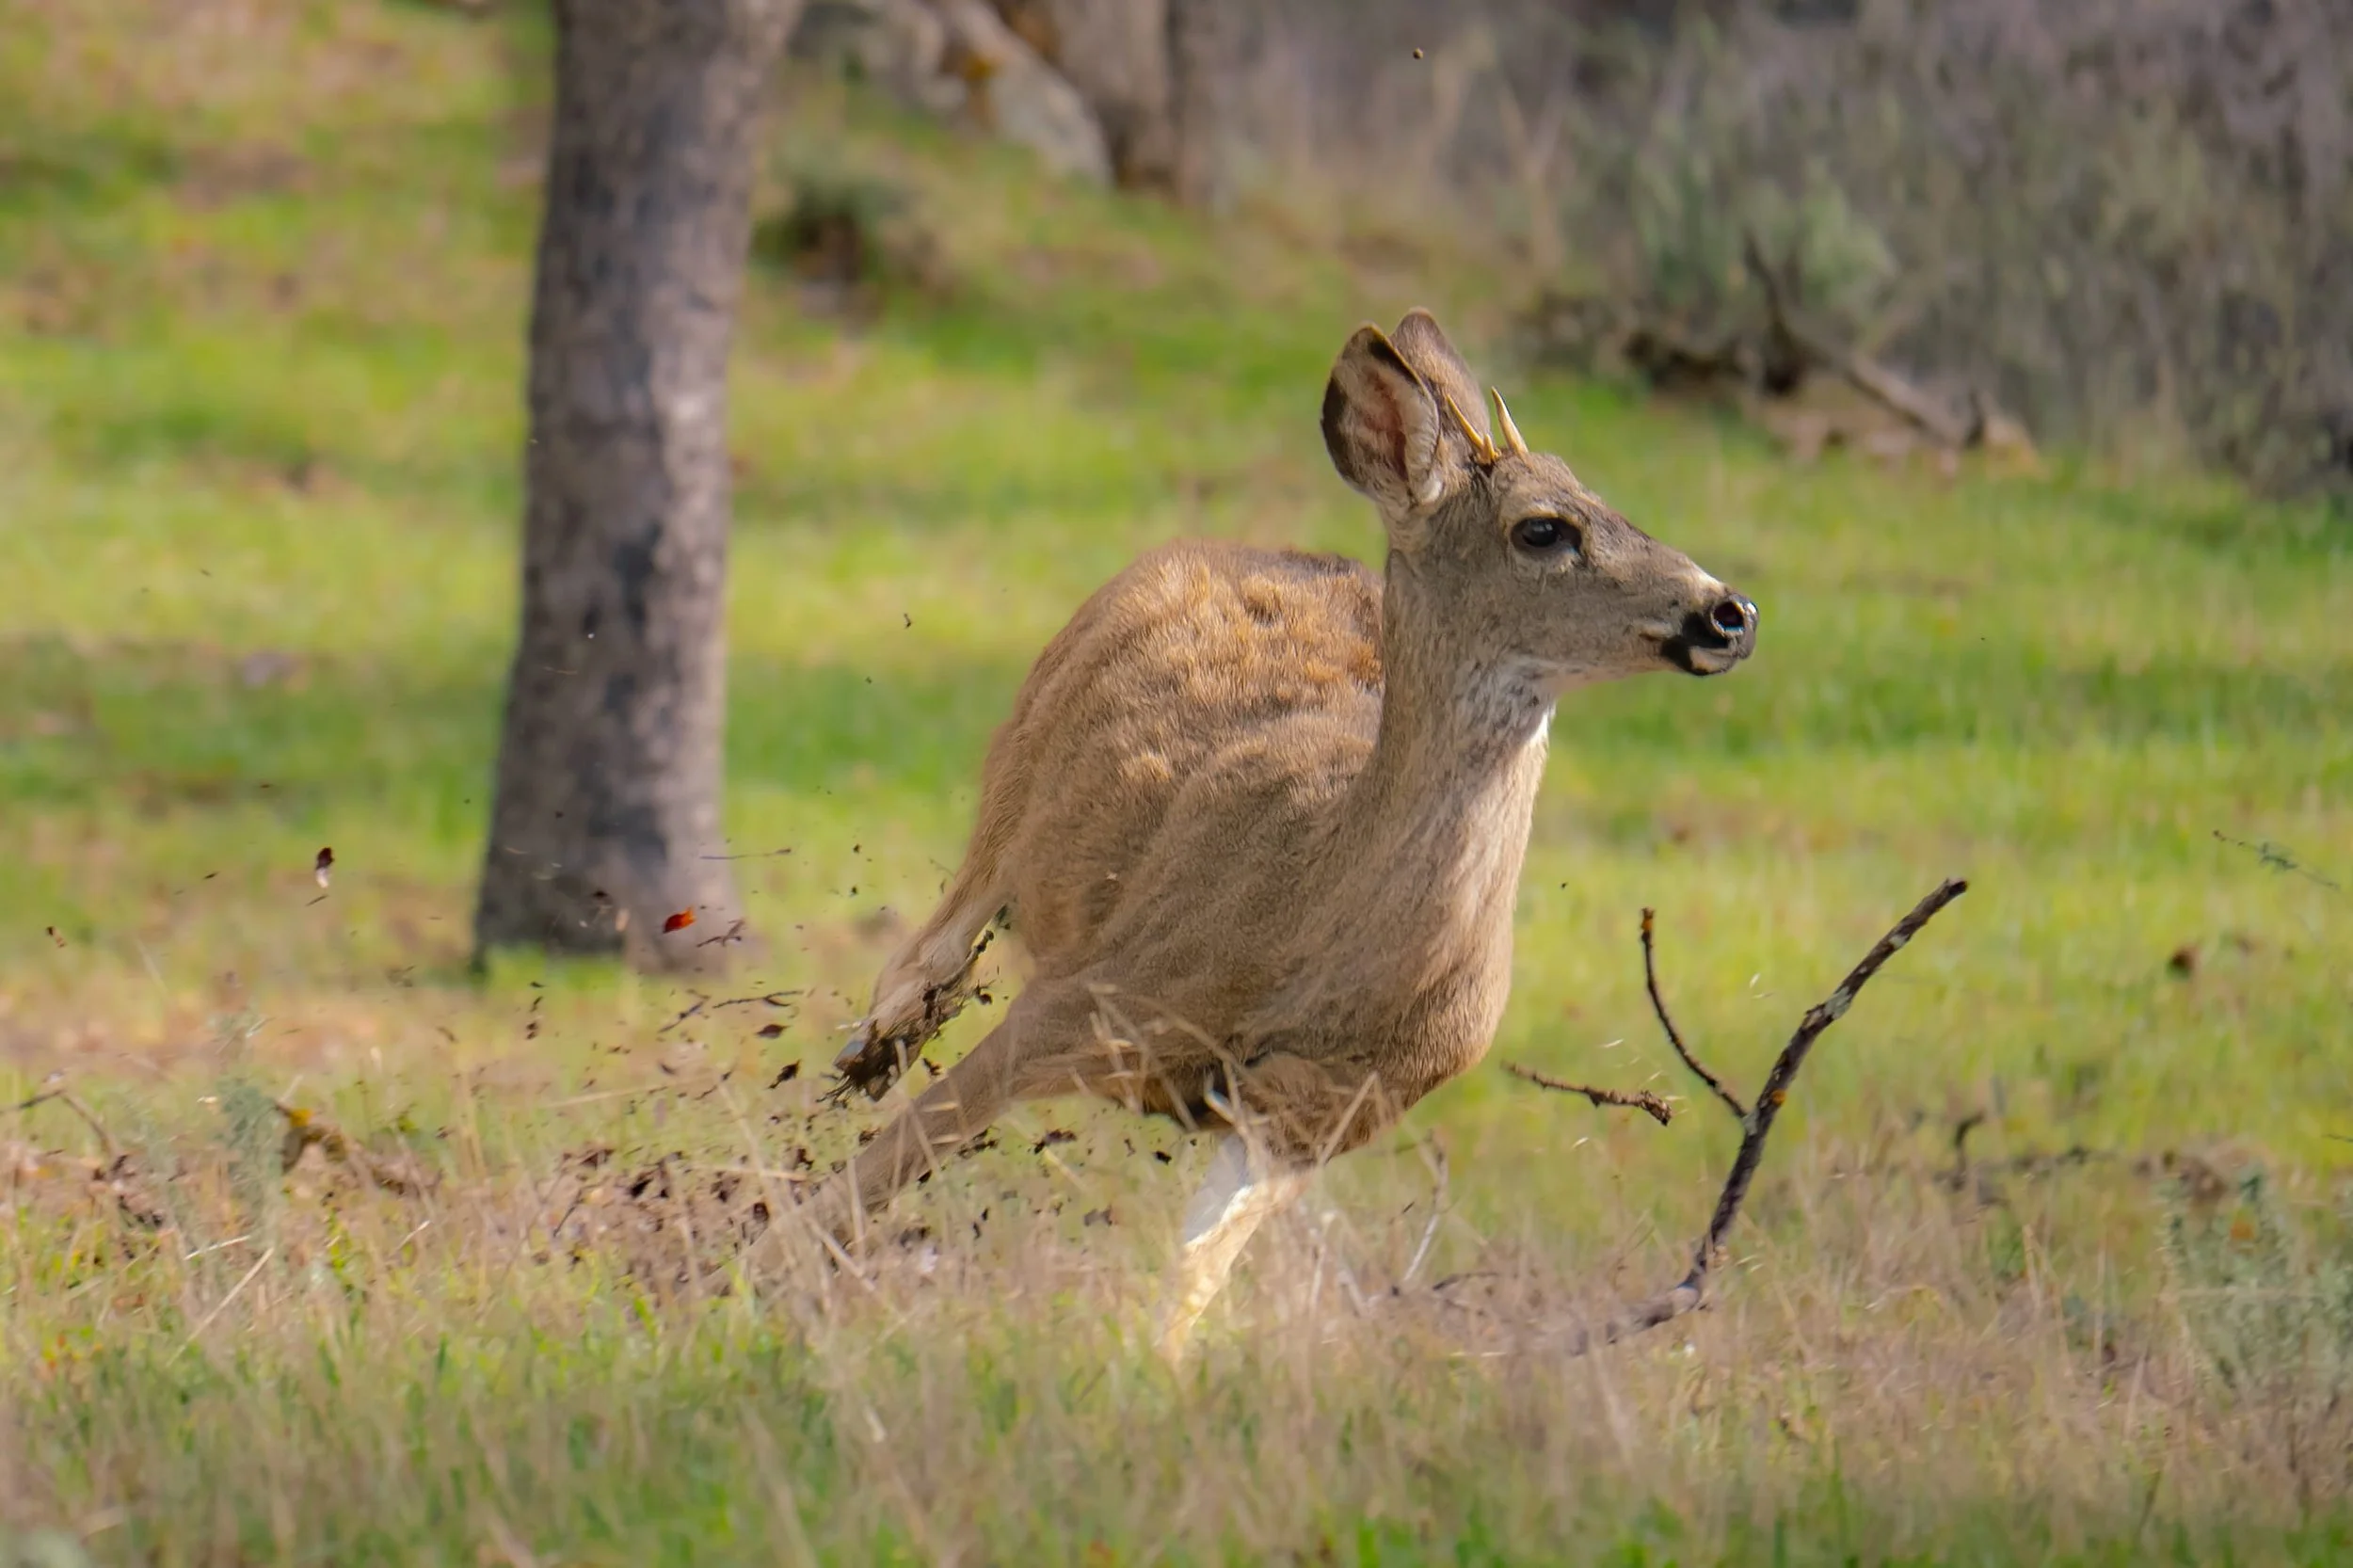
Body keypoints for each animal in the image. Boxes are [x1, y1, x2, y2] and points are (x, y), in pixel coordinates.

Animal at [802, 310, 1758, 1359]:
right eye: (1543, 528)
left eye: (1601, 494)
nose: (1728, 611)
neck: (1317, 927)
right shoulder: (1088, 999)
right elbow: (870, 1177)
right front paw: (744, 1274)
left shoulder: (1312, 1118)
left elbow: (1185, 1287)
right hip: (1017, 758)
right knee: (932, 944)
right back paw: (869, 1054)